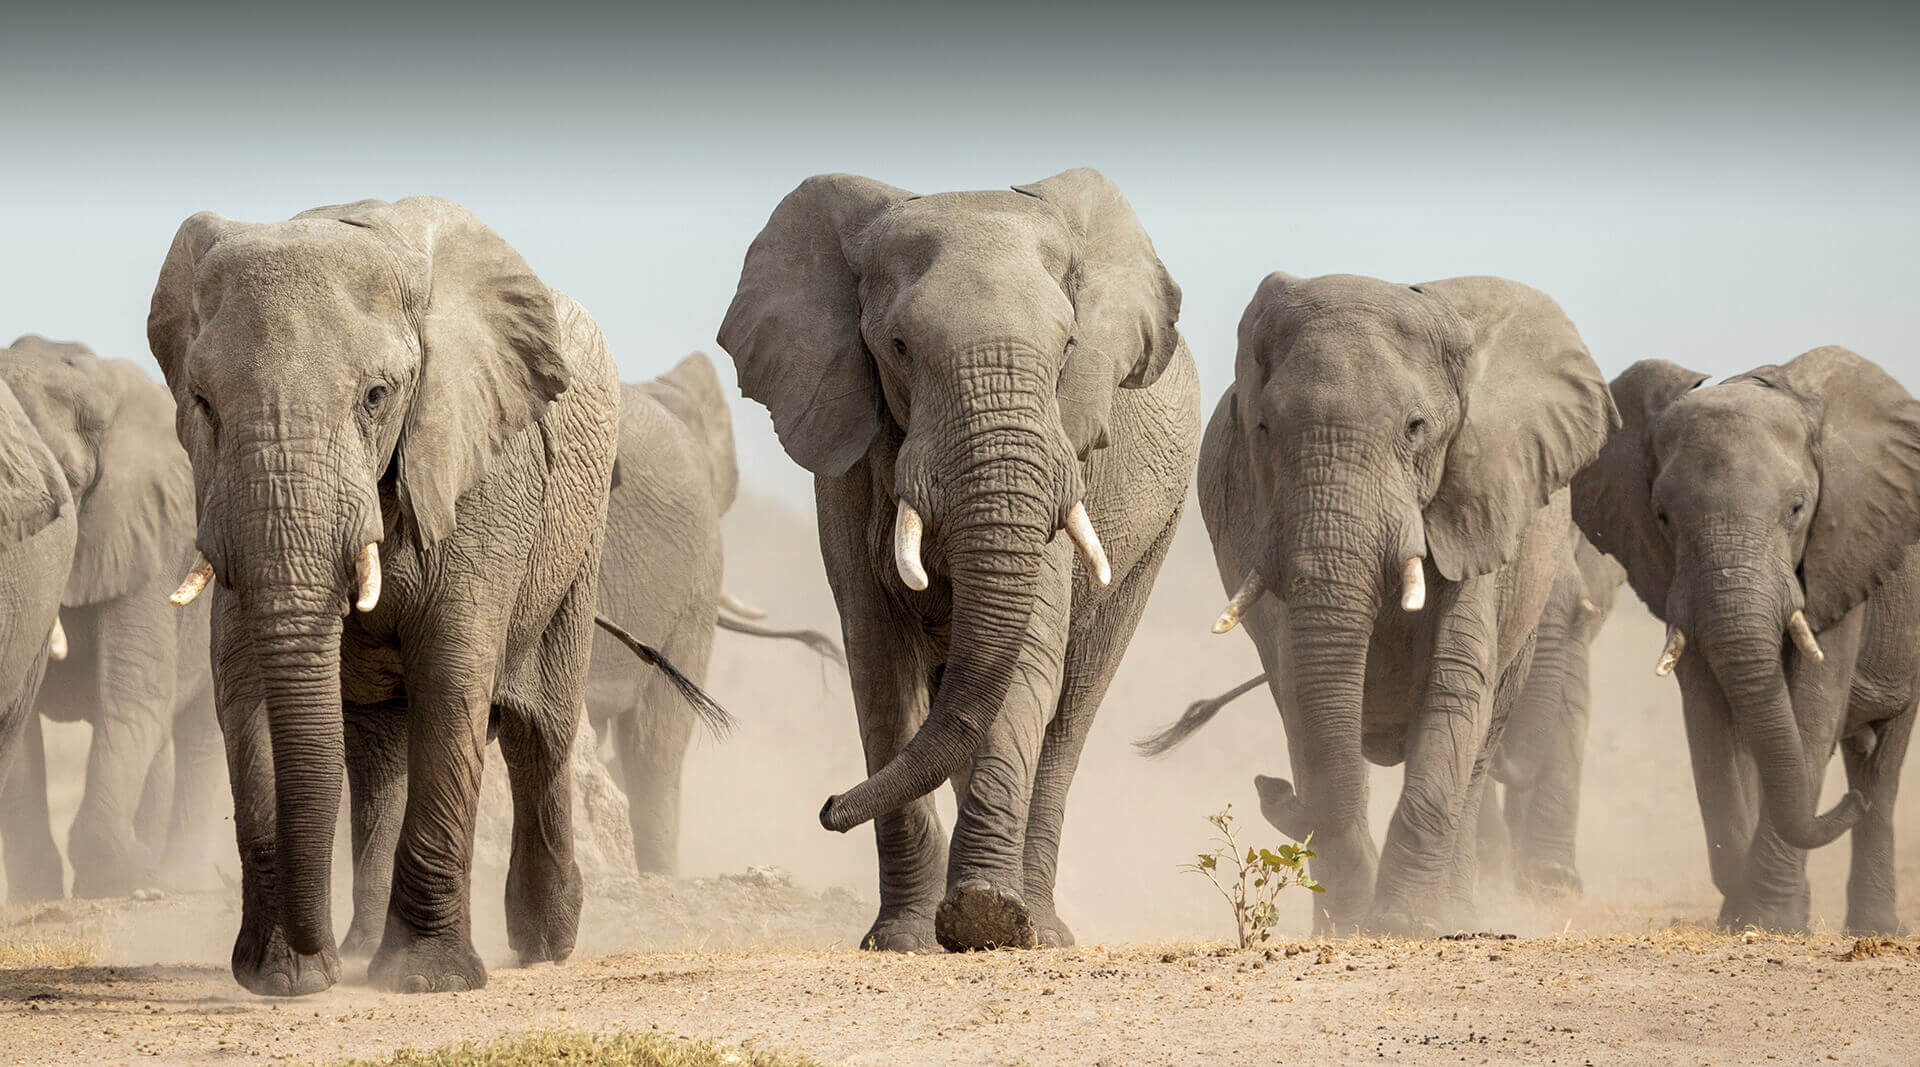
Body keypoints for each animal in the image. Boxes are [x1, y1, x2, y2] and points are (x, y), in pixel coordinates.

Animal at [0, 336, 222, 902]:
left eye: (73, 483)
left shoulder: (151, 532)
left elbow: (133, 691)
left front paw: (122, 878)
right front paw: (42, 896)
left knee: (195, 733)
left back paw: (176, 879)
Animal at [145, 195, 689, 995]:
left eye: (376, 396)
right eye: (203, 403)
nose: (314, 950)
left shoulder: (483, 474)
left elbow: (452, 676)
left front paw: (425, 979)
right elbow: (244, 687)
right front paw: (282, 979)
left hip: (579, 539)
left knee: (542, 732)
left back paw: (543, 942)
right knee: (379, 758)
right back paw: (364, 943)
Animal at [718, 168, 1201, 952]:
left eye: (1069, 345)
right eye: (898, 346)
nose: (827, 808)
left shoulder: (1064, 459)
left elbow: (1028, 661)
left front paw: (987, 918)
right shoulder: (848, 466)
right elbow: (879, 666)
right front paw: (903, 939)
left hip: (1157, 535)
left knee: (1069, 712)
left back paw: (1043, 925)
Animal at [1153, 273, 1617, 936]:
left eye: (1416, 428)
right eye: (1263, 429)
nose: (1268, 789)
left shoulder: (1475, 503)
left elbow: (1455, 683)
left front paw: (1404, 924)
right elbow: (1305, 698)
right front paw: (1351, 924)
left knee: (1479, 751)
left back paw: (1454, 914)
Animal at [1572, 347, 1920, 934]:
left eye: (1798, 509)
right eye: (1662, 516)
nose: (1844, 804)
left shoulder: (1840, 555)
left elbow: (1810, 709)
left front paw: (1773, 919)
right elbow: (1711, 719)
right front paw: (1745, 912)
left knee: (1884, 763)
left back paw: (1873, 921)